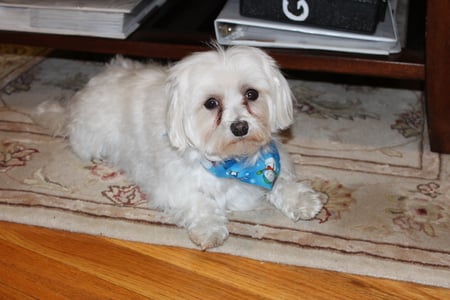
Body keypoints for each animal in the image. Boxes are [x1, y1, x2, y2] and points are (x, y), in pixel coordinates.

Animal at [35, 45, 324, 250]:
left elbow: (282, 182)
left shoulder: (273, 161)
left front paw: (300, 200)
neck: (235, 163)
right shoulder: (171, 186)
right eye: (211, 103)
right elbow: (200, 201)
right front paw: (210, 228)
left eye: (251, 94)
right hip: (89, 142)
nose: (240, 127)